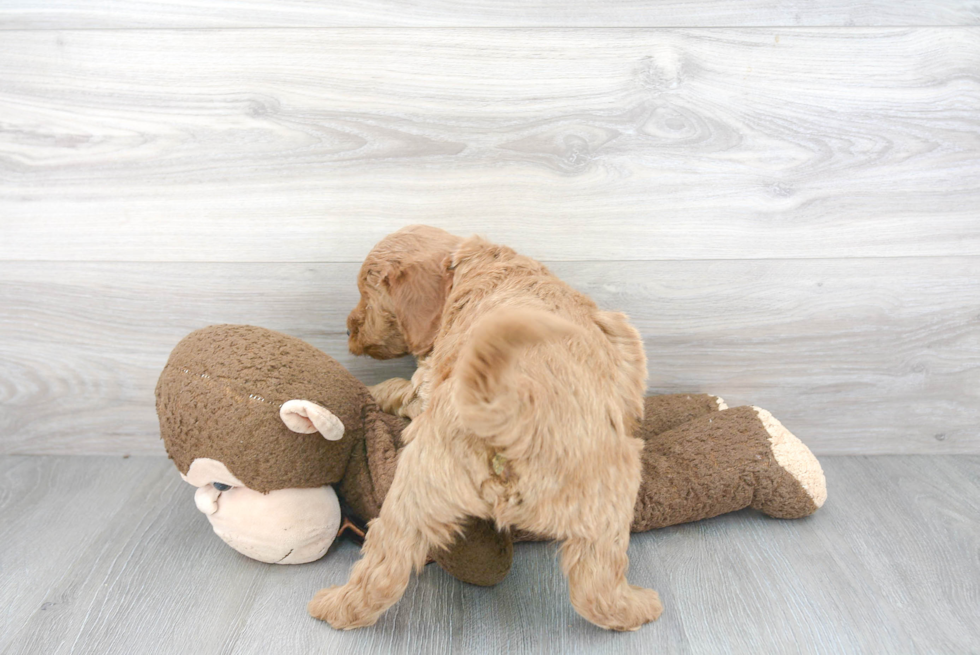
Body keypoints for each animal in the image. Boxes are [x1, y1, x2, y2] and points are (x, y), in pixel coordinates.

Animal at [314, 224, 664, 632]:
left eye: (367, 295)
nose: (347, 330)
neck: (472, 264)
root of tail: (506, 413)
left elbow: (405, 388)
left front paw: (372, 390)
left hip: (417, 486)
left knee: (384, 563)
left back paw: (332, 607)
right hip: (613, 489)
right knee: (598, 583)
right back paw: (640, 608)